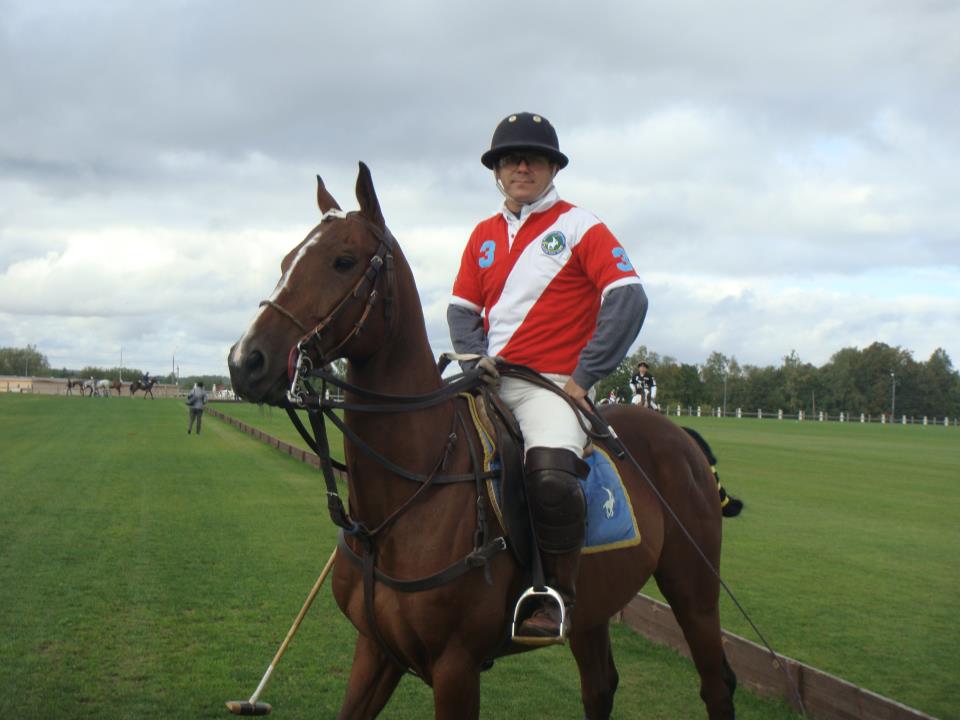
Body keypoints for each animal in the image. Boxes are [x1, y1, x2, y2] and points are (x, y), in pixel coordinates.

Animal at [227, 164, 737, 720]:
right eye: (285, 261)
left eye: (343, 261)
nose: (245, 361)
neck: (405, 499)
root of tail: (683, 437)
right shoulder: (376, 650)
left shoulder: (456, 665)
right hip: (595, 603)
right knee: (600, 684)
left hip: (694, 584)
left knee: (716, 681)